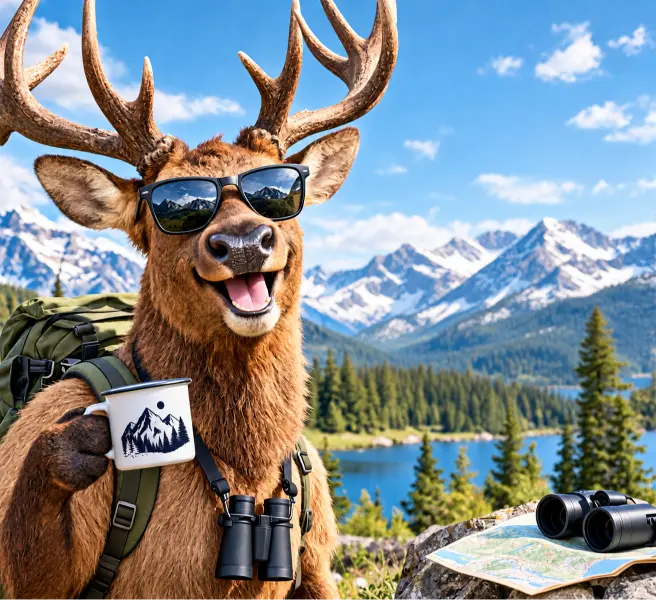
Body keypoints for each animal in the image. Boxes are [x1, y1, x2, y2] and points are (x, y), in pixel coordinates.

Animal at [0, 0, 397, 598]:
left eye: (280, 189)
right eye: (172, 206)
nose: (243, 242)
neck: (245, 466)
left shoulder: (320, 554)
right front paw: (74, 444)